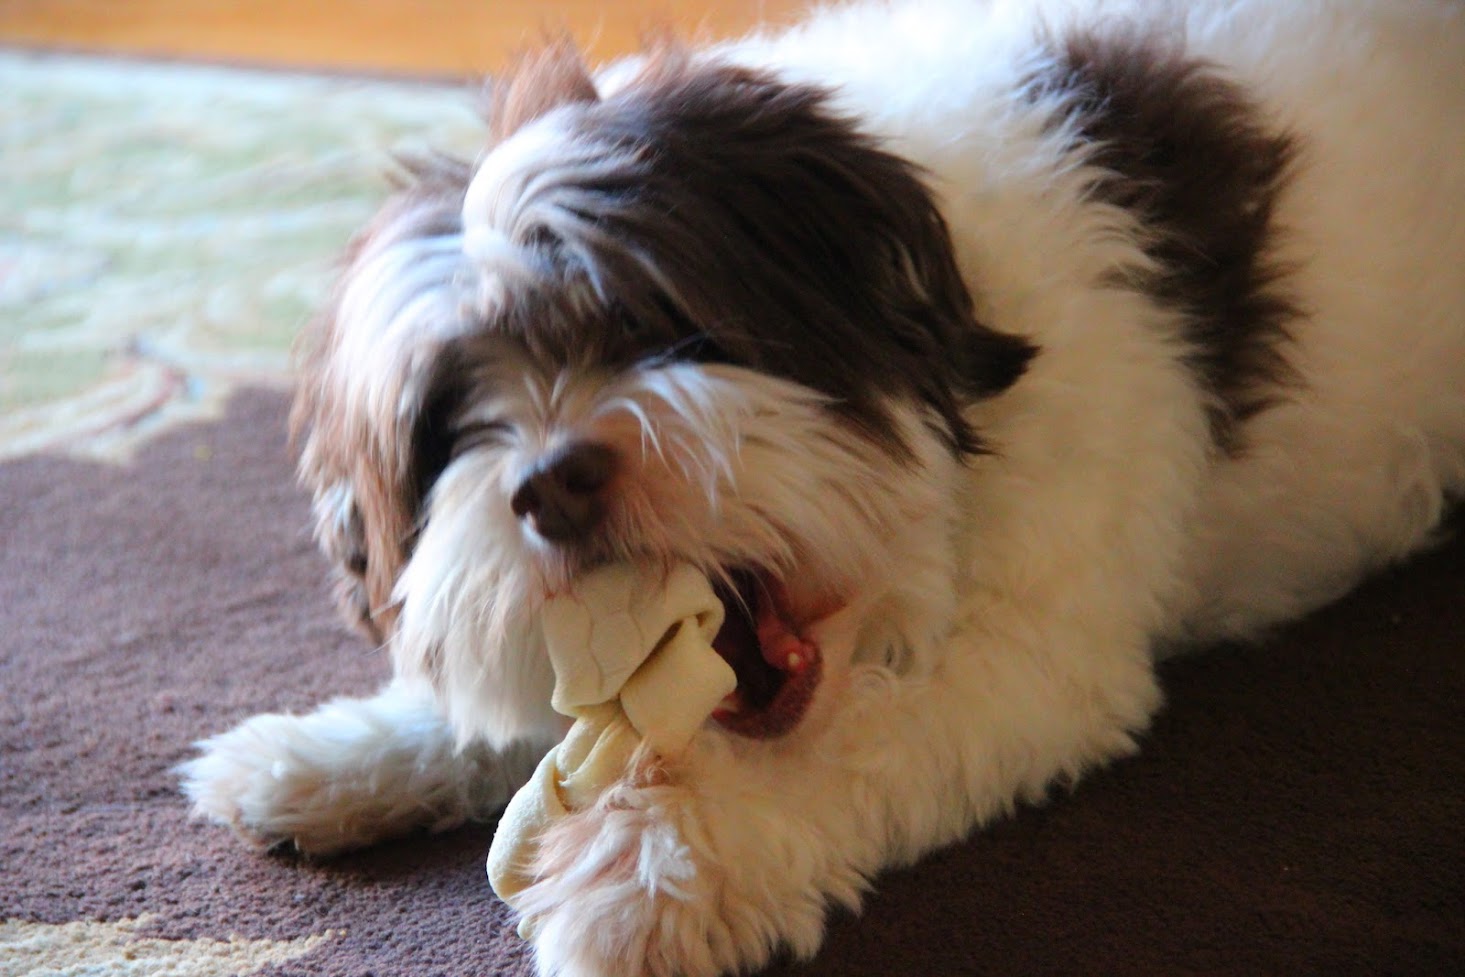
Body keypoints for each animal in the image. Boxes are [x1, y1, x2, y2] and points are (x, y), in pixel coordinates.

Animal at [180, 1, 1465, 974]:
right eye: (453, 422)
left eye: (650, 322)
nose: (549, 482)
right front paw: (325, 754)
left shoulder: (1042, 654)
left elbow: (833, 746)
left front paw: (646, 876)